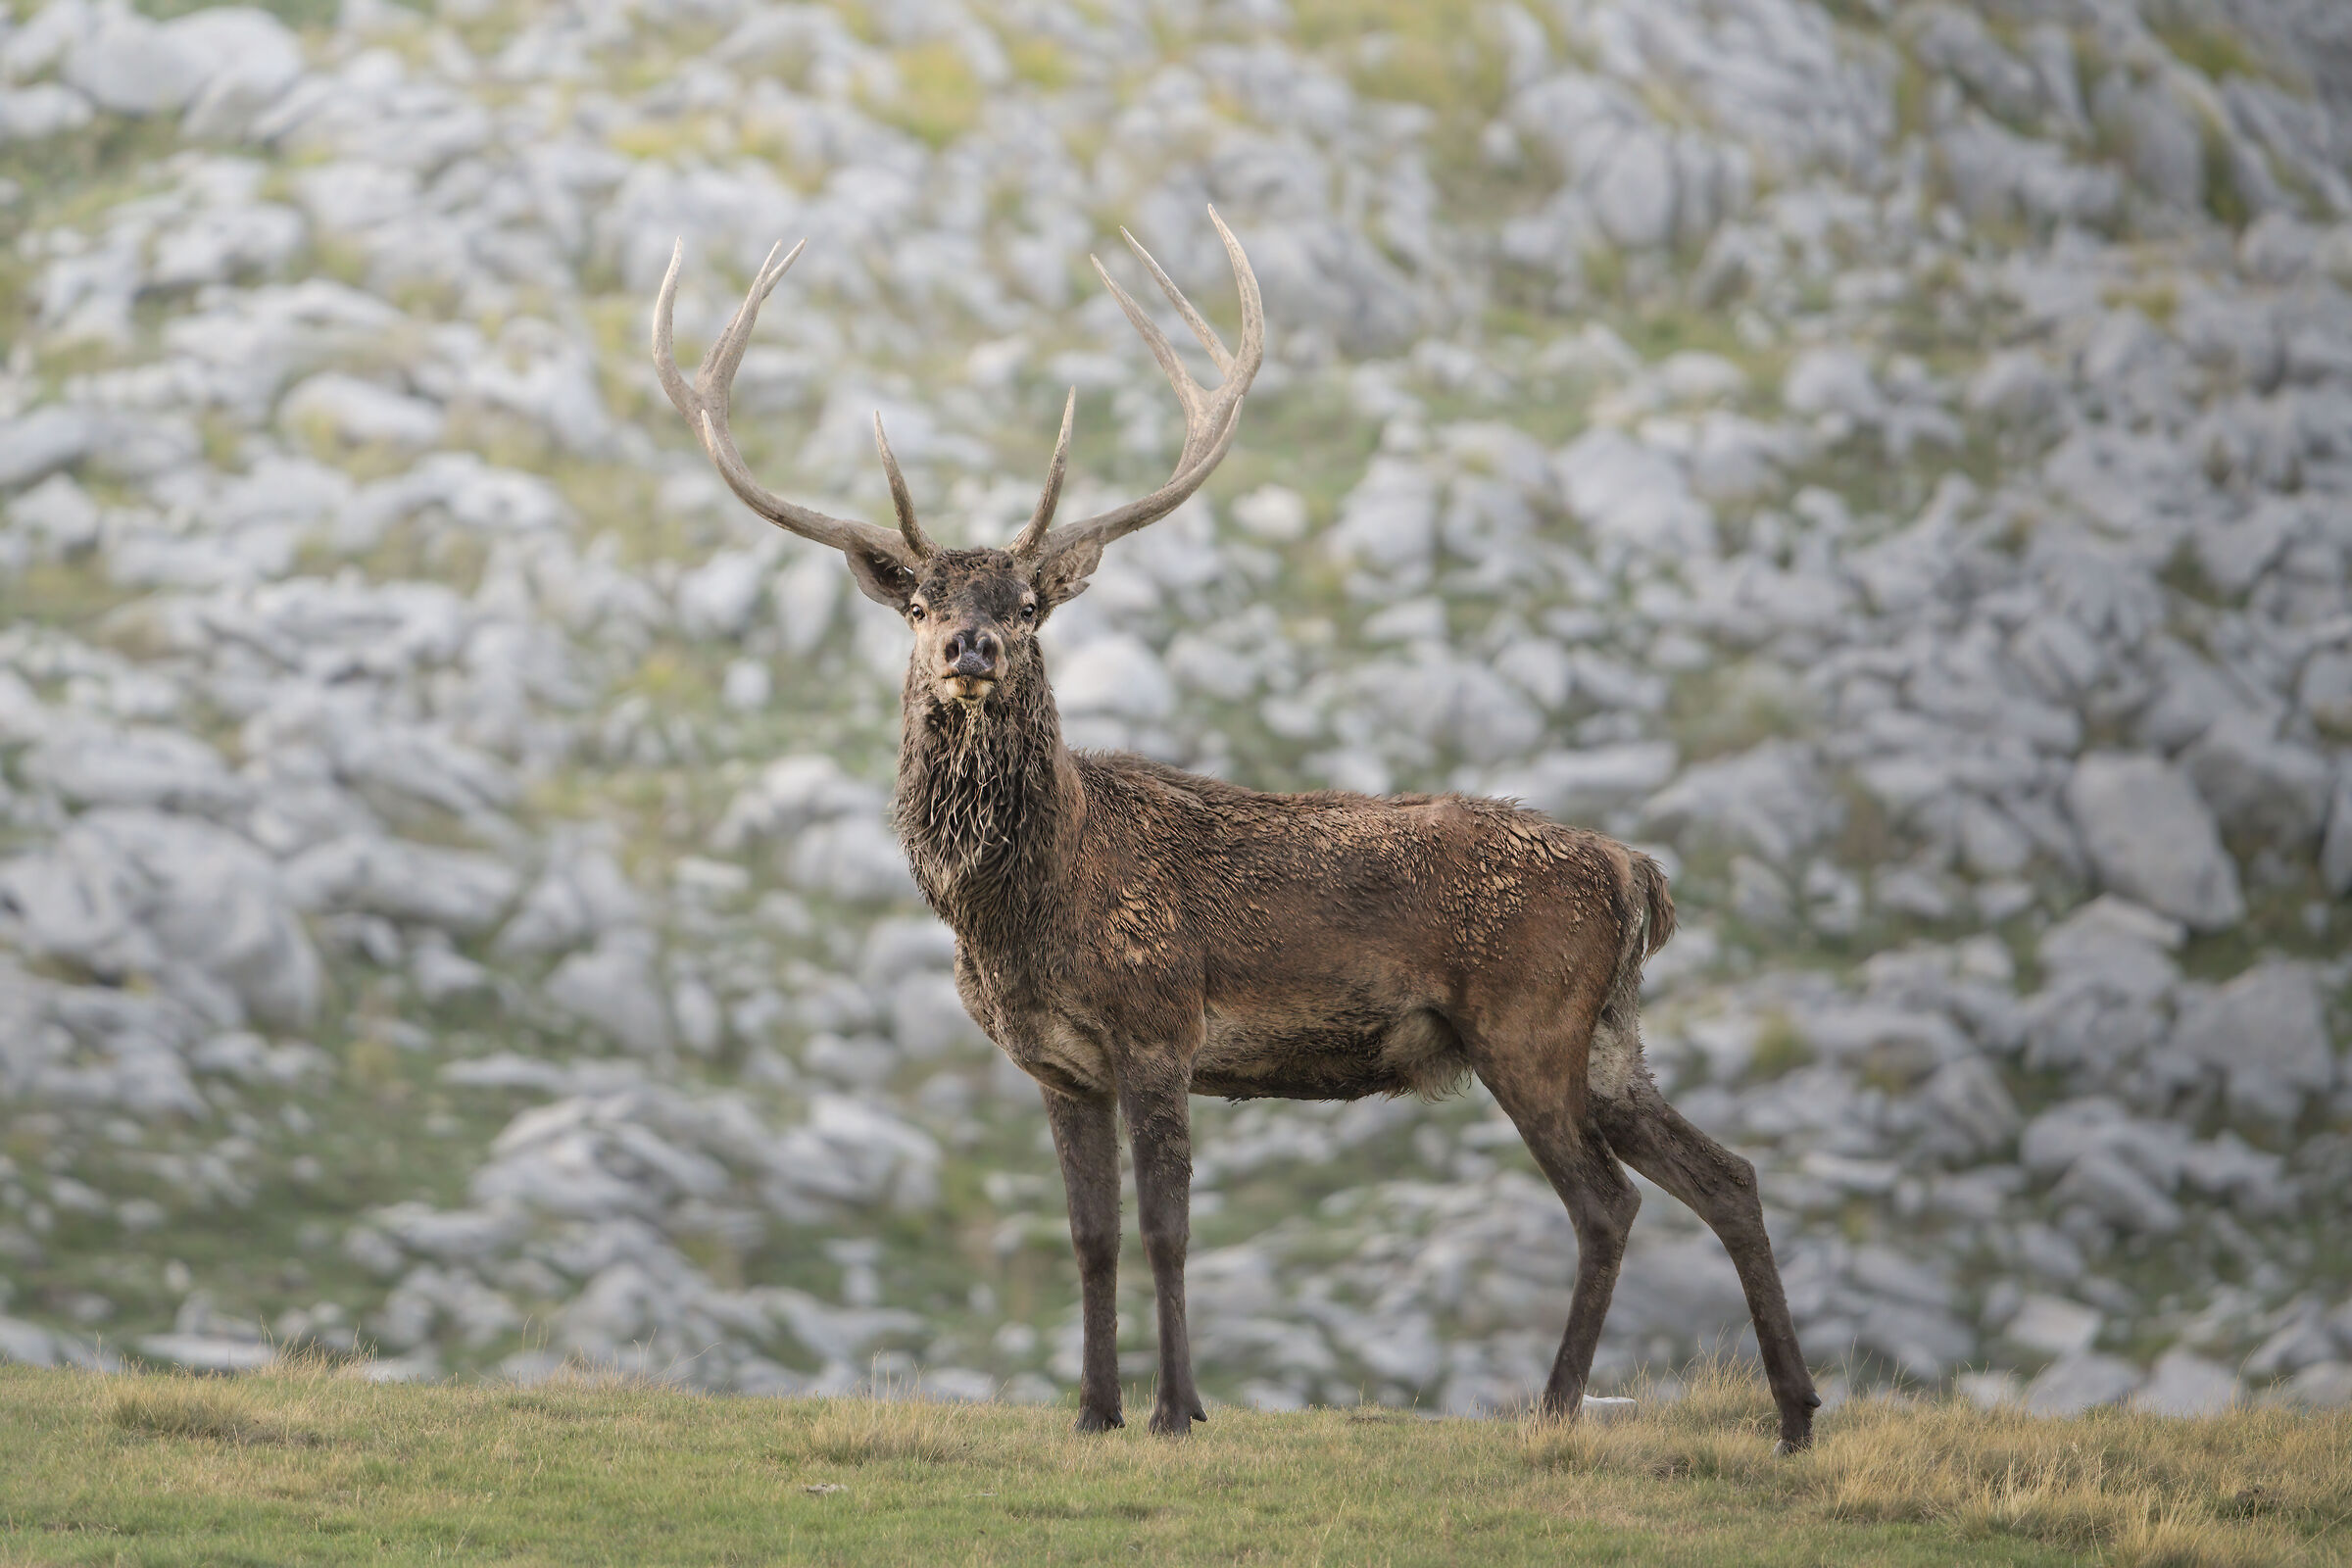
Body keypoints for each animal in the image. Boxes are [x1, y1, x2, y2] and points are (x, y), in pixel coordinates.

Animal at [651, 210, 1821, 1450]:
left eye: (1028, 605)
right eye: (923, 604)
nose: (972, 644)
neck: (1023, 911)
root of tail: (1634, 871)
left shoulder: (1160, 1022)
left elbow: (1167, 1227)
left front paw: (1177, 1408)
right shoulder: (1056, 1066)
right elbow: (1091, 1236)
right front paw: (1093, 1411)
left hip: (1528, 1021)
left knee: (1609, 1202)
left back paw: (1555, 1407)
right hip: (1609, 1037)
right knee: (1728, 1173)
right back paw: (1793, 1411)